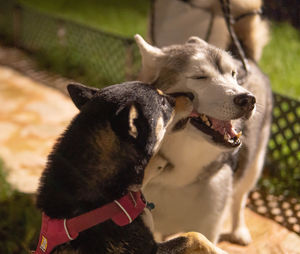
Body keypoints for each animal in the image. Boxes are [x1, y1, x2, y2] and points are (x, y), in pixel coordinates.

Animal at [136, 34, 274, 245]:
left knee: (240, 198)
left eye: (232, 74)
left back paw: (239, 230)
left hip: (254, 166)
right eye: (199, 77)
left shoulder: (209, 228)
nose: (248, 100)